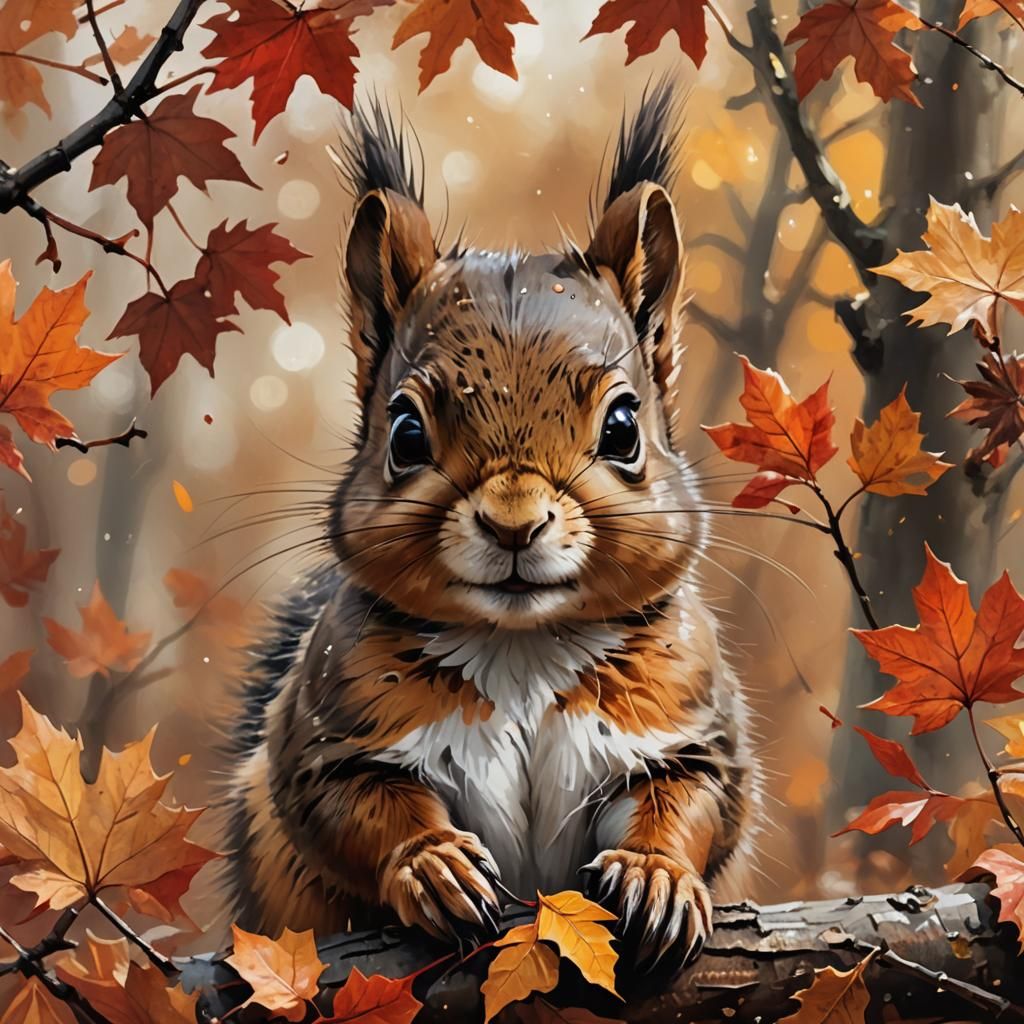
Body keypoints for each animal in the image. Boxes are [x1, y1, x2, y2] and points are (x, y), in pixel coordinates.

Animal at [221, 81, 759, 975]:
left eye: (624, 429)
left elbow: (690, 802)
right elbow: (360, 810)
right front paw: (433, 866)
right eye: (405, 434)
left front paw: (655, 875)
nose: (514, 524)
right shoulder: (329, 737)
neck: (522, 647)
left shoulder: (690, 729)